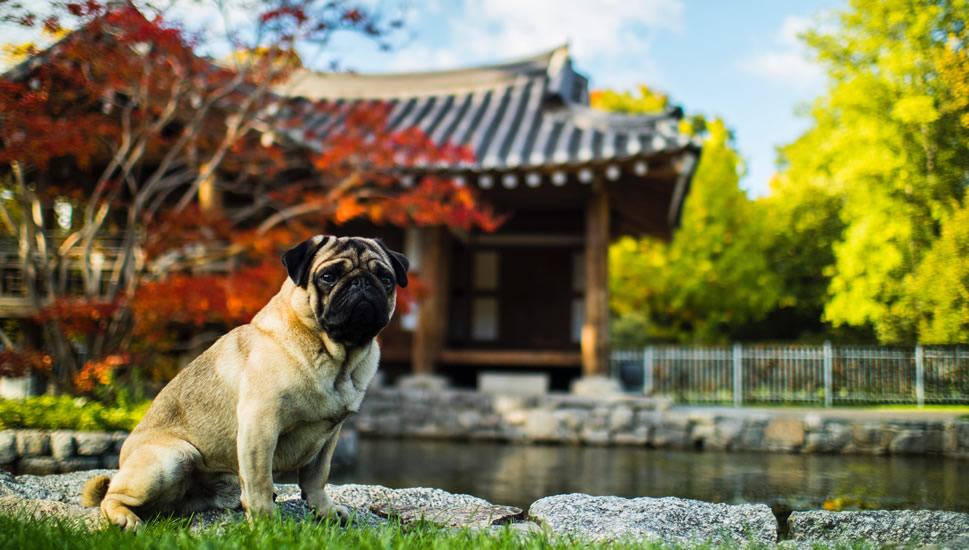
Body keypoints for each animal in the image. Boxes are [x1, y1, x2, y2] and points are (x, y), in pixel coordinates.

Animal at [78, 236, 404, 532]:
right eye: (328, 276)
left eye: (385, 278)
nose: (361, 283)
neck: (335, 356)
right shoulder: (260, 426)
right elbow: (260, 482)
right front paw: (266, 525)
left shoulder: (330, 435)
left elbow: (317, 477)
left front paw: (323, 511)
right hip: (173, 457)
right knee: (110, 496)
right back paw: (125, 519)